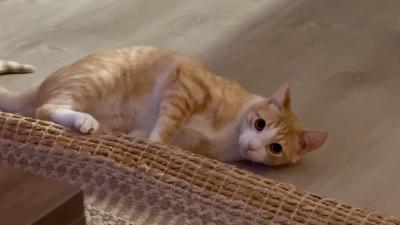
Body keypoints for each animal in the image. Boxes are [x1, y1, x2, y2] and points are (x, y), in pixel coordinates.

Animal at [0, 46, 324, 165]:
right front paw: (153, 148)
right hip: (97, 79)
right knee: (45, 109)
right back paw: (83, 120)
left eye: (276, 148)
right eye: (260, 124)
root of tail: (45, 82)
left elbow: (156, 138)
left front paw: (144, 145)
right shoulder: (185, 88)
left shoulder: (189, 142)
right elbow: (166, 126)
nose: (254, 145)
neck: (229, 136)